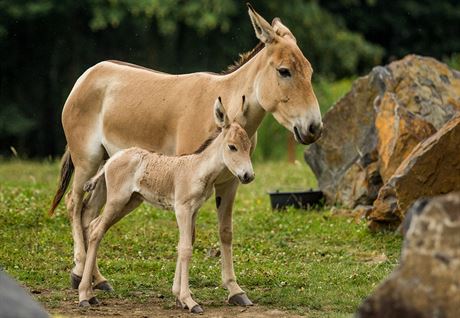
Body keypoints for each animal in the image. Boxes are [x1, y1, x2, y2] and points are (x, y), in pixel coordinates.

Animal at [77, 99, 253, 314]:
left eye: (248, 146)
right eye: (232, 147)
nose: (248, 176)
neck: (198, 169)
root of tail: (112, 159)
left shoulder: (193, 211)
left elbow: (184, 243)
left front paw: (179, 296)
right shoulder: (182, 209)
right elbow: (186, 249)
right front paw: (189, 301)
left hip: (130, 202)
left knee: (95, 225)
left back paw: (90, 294)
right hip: (117, 201)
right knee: (96, 231)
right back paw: (84, 296)